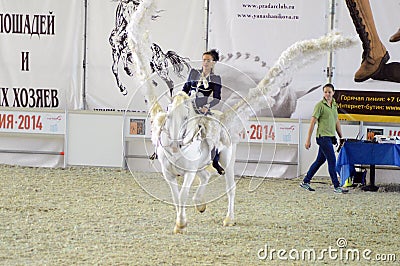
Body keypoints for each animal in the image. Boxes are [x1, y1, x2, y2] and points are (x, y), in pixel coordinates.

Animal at [152, 92, 236, 234]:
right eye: (168, 115)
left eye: (185, 117)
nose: (174, 145)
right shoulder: (168, 174)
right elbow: (176, 198)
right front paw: (181, 223)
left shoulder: (190, 172)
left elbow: (182, 196)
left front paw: (181, 225)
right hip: (200, 165)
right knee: (205, 177)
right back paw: (200, 204)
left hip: (227, 161)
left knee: (230, 188)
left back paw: (229, 219)